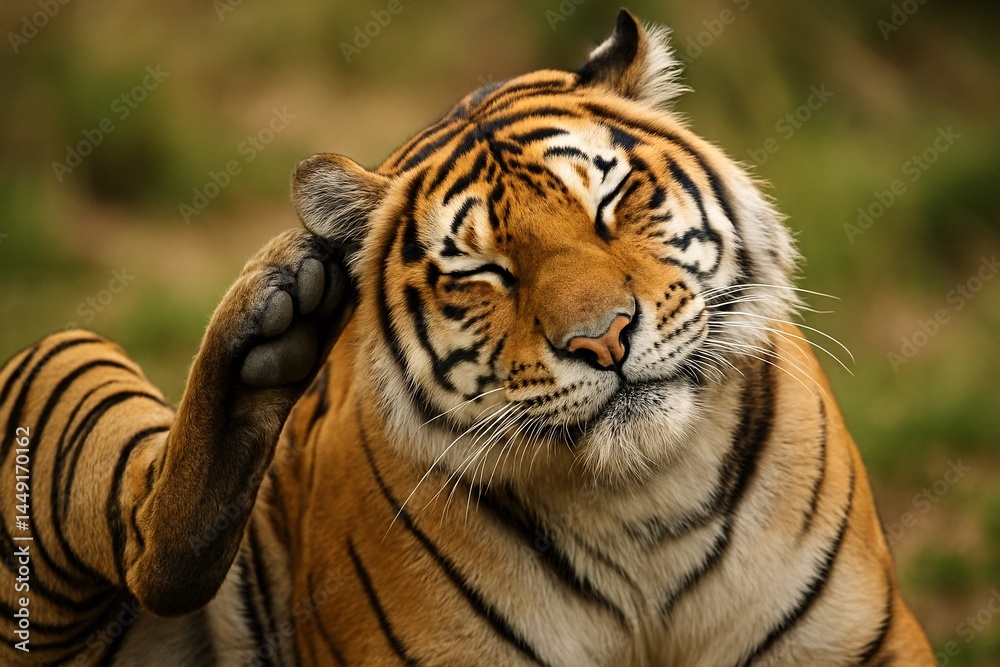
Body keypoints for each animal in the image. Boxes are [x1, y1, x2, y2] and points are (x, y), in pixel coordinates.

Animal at [0, 8, 934, 666]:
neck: (642, 506)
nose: (604, 339)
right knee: (151, 547)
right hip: (66, 359)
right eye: (483, 270)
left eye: (611, 201)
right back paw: (277, 312)